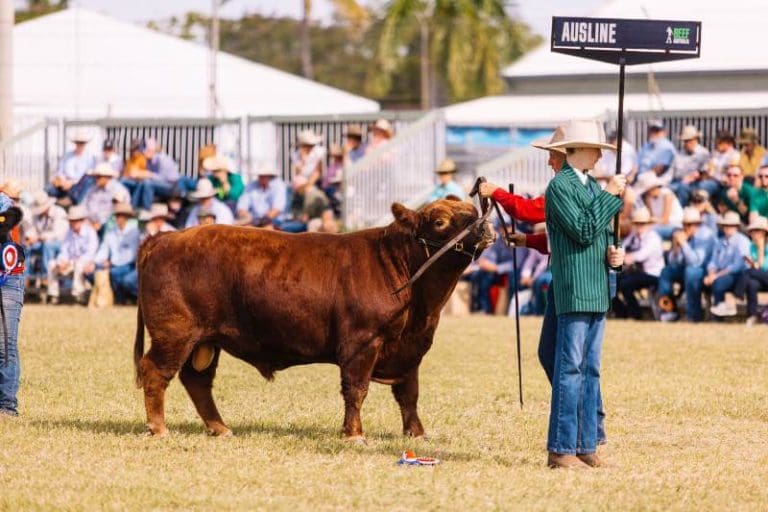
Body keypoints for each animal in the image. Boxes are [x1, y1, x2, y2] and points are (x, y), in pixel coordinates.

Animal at [132, 198, 492, 438]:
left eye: (471, 211)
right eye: (440, 221)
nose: (483, 225)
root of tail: (165, 238)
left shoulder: (410, 350)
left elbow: (409, 394)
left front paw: (416, 433)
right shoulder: (362, 343)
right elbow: (356, 389)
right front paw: (354, 434)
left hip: (205, 341)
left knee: (197, 381)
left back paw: (220, 428)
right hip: (175, 333)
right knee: (155, 371)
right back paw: (159, 428)